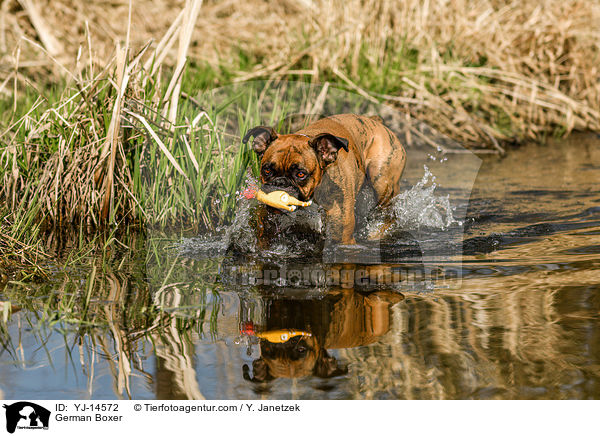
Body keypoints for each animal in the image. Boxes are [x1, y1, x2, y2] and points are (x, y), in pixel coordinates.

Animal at [244, 114, 408, 244]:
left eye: (301, 174)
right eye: (267, 170)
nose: (279, 184)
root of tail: (375, 121)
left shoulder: (342, 240)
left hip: (382, 182)